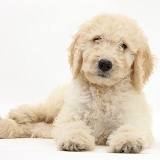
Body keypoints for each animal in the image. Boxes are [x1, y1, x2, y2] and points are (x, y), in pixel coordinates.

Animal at [0, 14, 154, 154]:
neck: (102, 90)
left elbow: (131, 127)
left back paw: (5, 126)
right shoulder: (71, 114)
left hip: (49, 127)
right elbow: (73, 126)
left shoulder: (135, 117)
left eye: (123, 46)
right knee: (43, 110)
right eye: (96, 39)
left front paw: (128, 140)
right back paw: (19, 113)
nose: (105, 63)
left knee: (35, 127)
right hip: (59, 102)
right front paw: (75, 139)